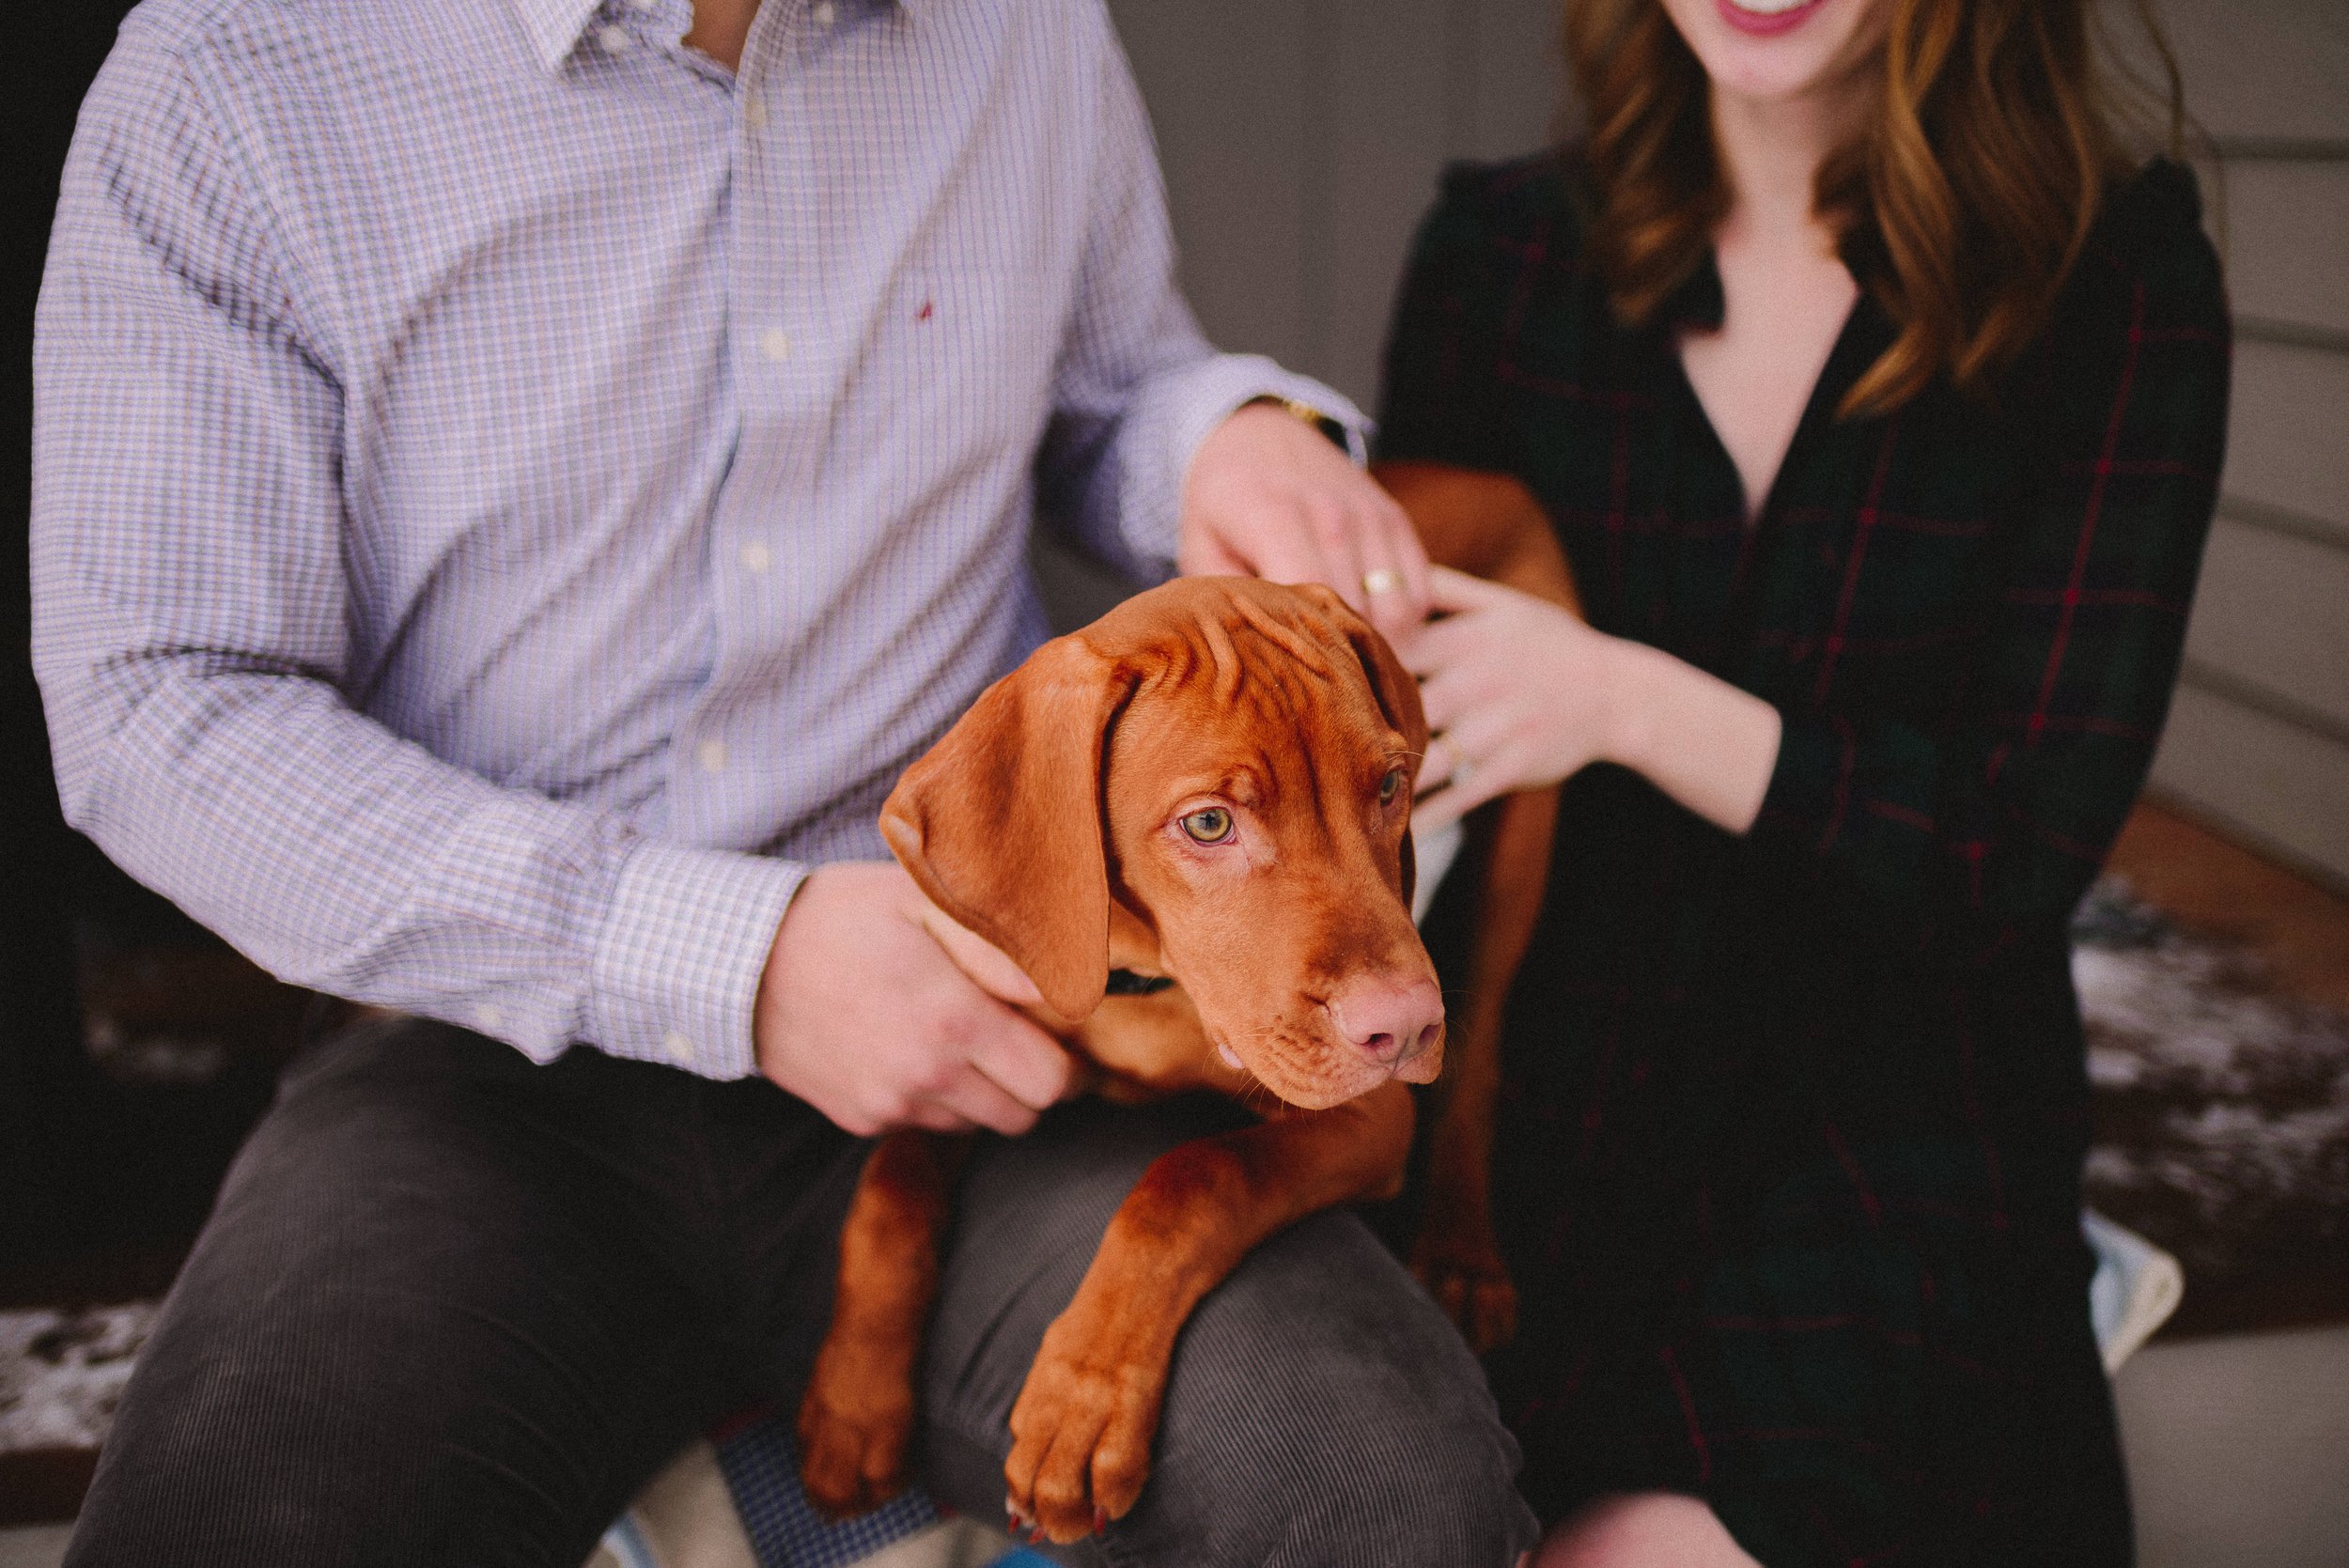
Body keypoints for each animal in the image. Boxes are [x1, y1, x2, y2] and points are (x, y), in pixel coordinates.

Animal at [799, 572, 1438, 1540]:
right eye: (1208, 823)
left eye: (1392, 783)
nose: (1404, 1029)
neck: (1145, 985)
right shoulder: (964, 1049)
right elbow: (890, 1181)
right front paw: (853, 1396)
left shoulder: (1377, 1112)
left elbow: (1192, 1175)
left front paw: (1085, 1396)